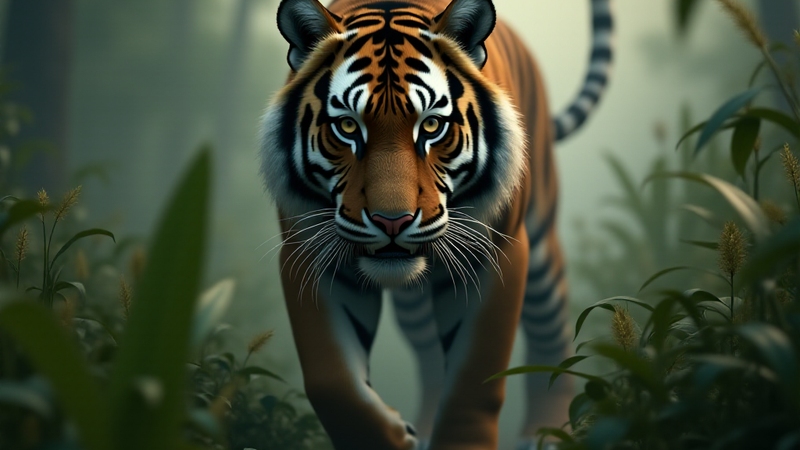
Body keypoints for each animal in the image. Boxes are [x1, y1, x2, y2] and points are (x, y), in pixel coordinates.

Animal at [259, 0, 613, 448]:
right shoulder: (312, 255)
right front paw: (396, 437)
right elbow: (330, 379)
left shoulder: (494, 254)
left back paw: (546, 434)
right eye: (347, 126)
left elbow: (475, 378)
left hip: (541, 248)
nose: (392, 221)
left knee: (552, 329)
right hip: (414, 305)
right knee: (428, 356)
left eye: (431, 125)